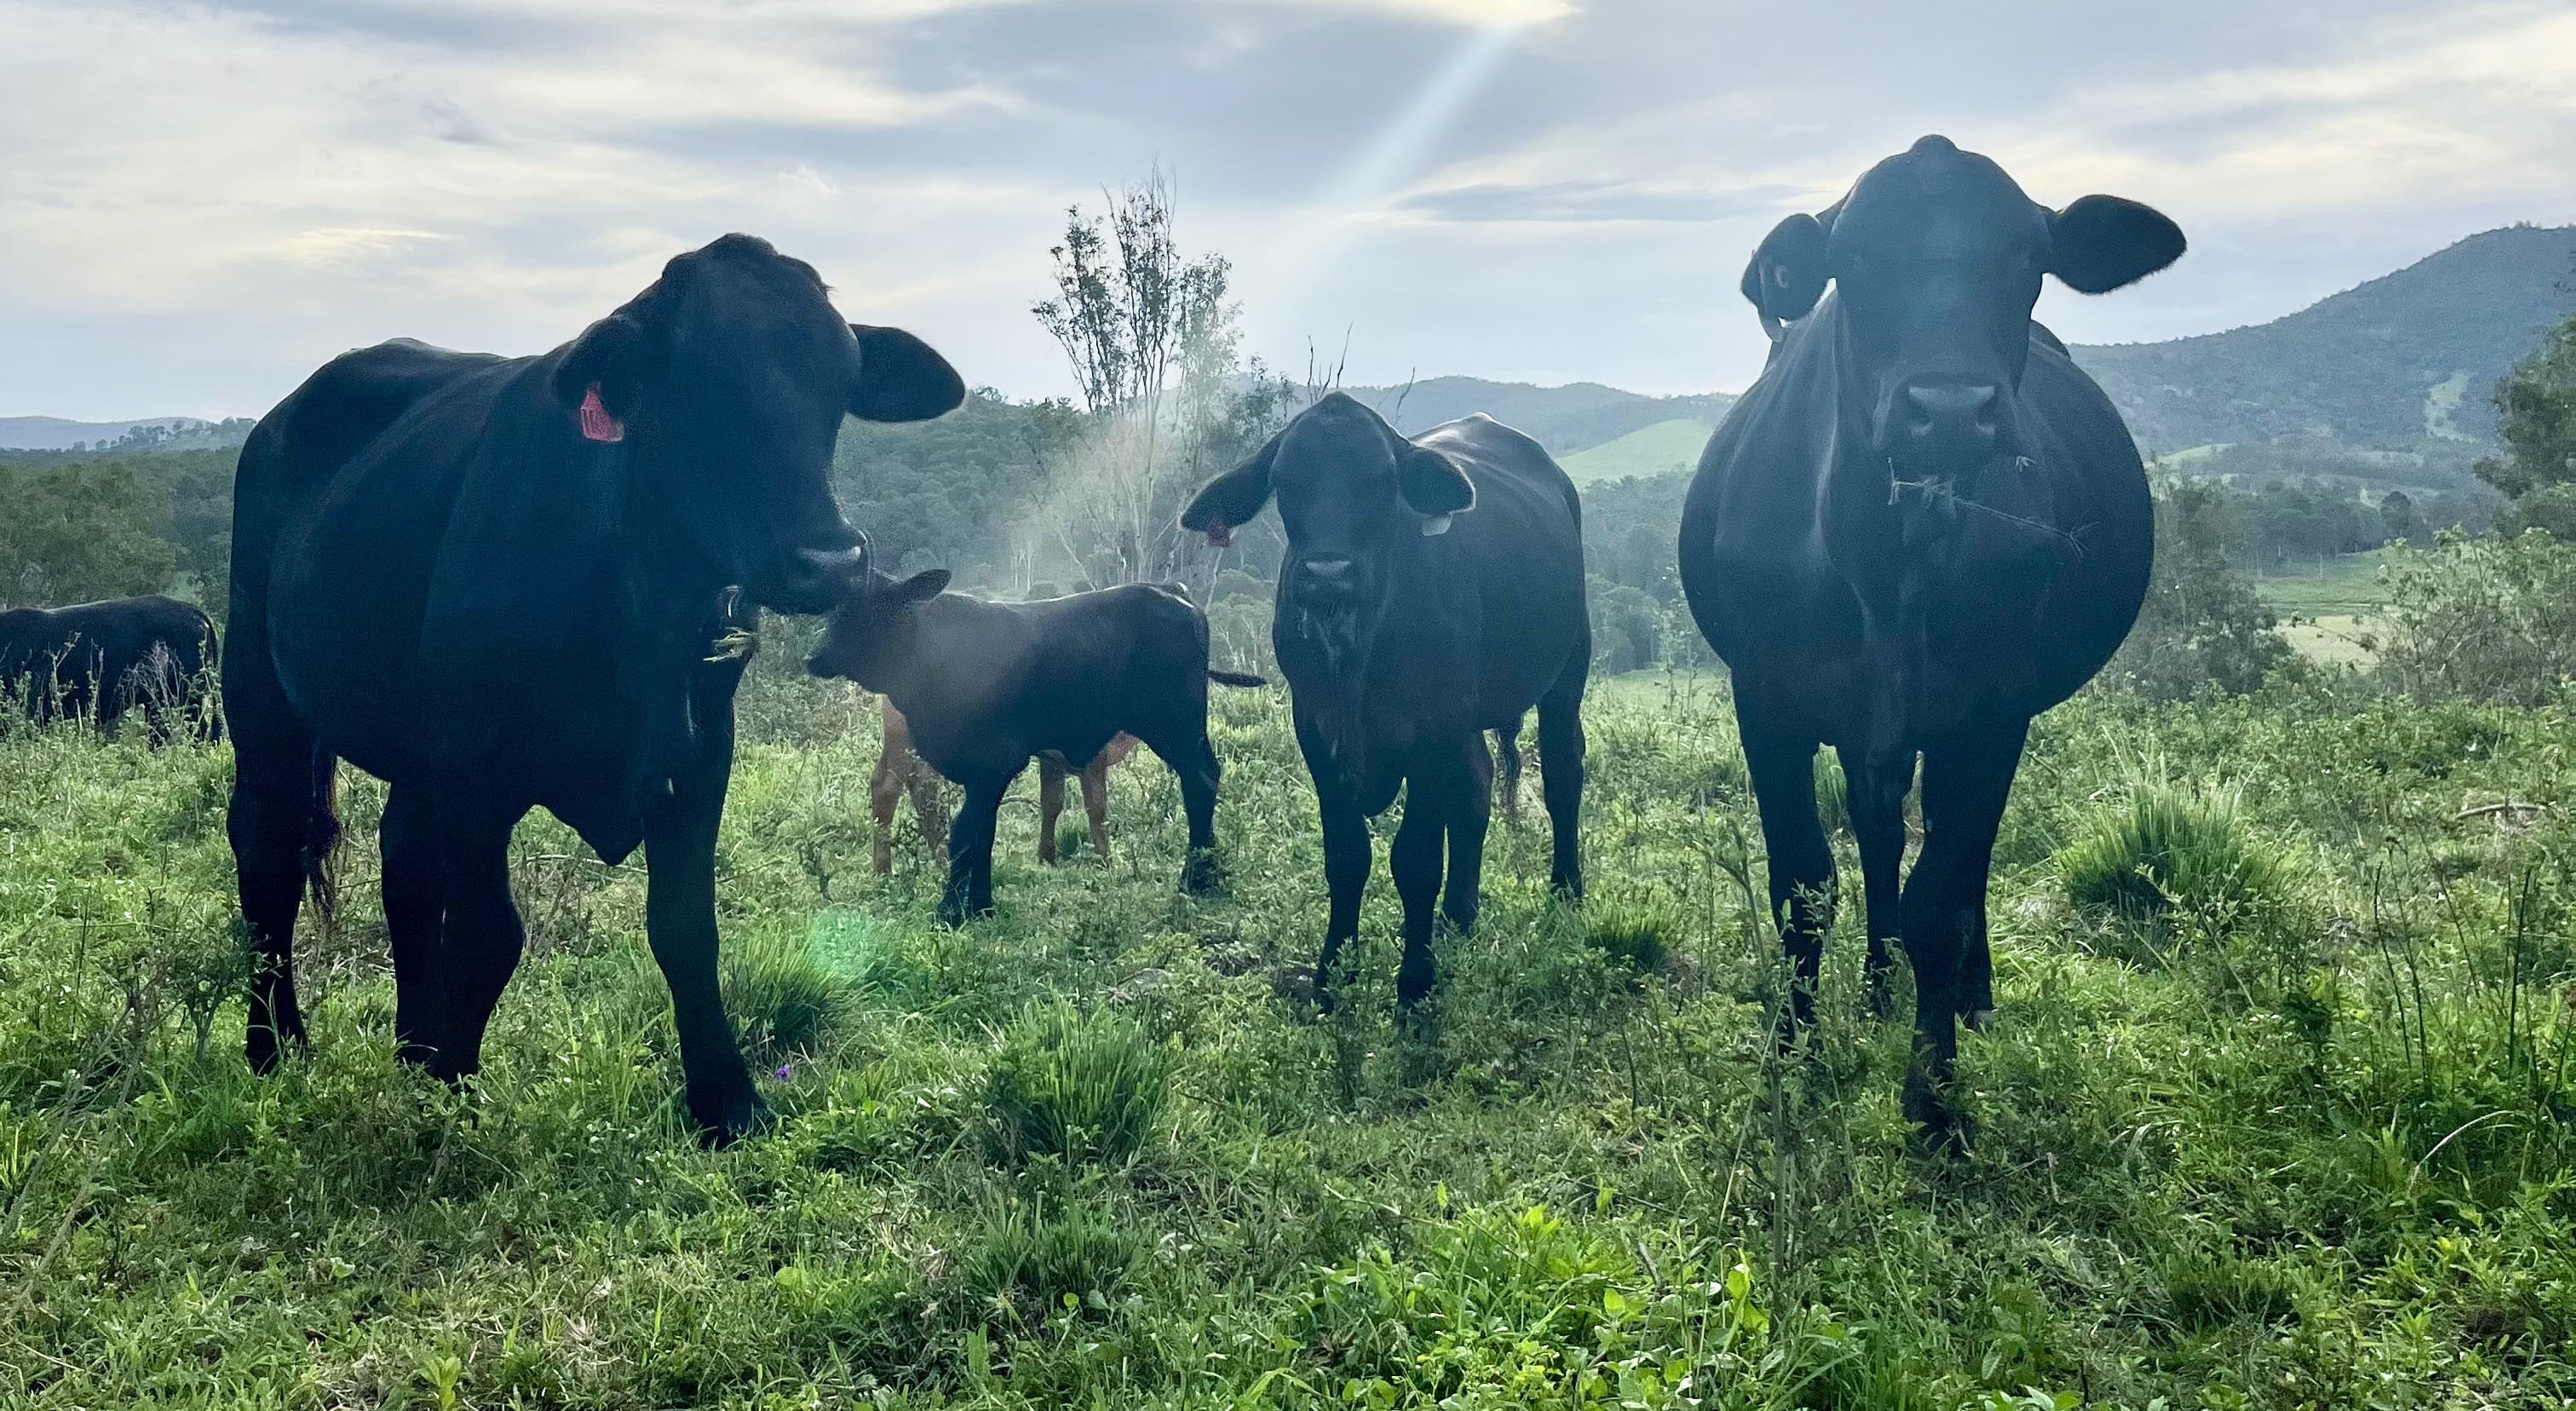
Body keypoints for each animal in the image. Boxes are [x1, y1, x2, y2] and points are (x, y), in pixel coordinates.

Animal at [225, 233, 963, 1142]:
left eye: (839, 385)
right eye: (696, 389)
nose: (828, 559)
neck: (638, 594)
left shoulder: (699, 751)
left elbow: (685, 925)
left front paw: (727, 1099)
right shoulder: (474, 762)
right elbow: (488, 934)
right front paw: (455, 1090)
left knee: (403, 860)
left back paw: (412, 1047)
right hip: (262, 693)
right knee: (267, 848)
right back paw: (275, 1046)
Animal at [806, 575, 1259, 925]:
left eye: (869, 611)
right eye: (836, 612)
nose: (815, 657)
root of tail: (1170, 591)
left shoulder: (996, 762)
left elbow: (969, 831)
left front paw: (952, 910)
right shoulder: (987, 771)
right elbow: (983, 831)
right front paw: (980, 905)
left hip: (1175, 724)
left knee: (1200, 779)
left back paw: (1198, 877)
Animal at [1180, 393, 1590, 1019]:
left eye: (1382, 482)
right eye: (1286, 482)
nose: (1327, 573)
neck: (1359, 647)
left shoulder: (1432, 734)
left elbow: (1415, 862)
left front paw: (1415, 993)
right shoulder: (1315, 730)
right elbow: (1346, 856)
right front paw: (1331, 979)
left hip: (1567, 673)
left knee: (1563, 771)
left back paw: (1565, 890)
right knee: (1477, 789)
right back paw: (1458, 918)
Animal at [1677, 136, 2179, 1145]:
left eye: (2026, 256)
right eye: (1857, 257)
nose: (1948, 406)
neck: (1884, 558)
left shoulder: (1991, 709)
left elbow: (1943, 898)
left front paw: (1936, 1101)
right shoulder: (1768, 697)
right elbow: (1804, 886)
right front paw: (1787, 1066)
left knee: (1951, 866)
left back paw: (1967, 998)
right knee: (1876, 838)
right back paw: (1877, 984)